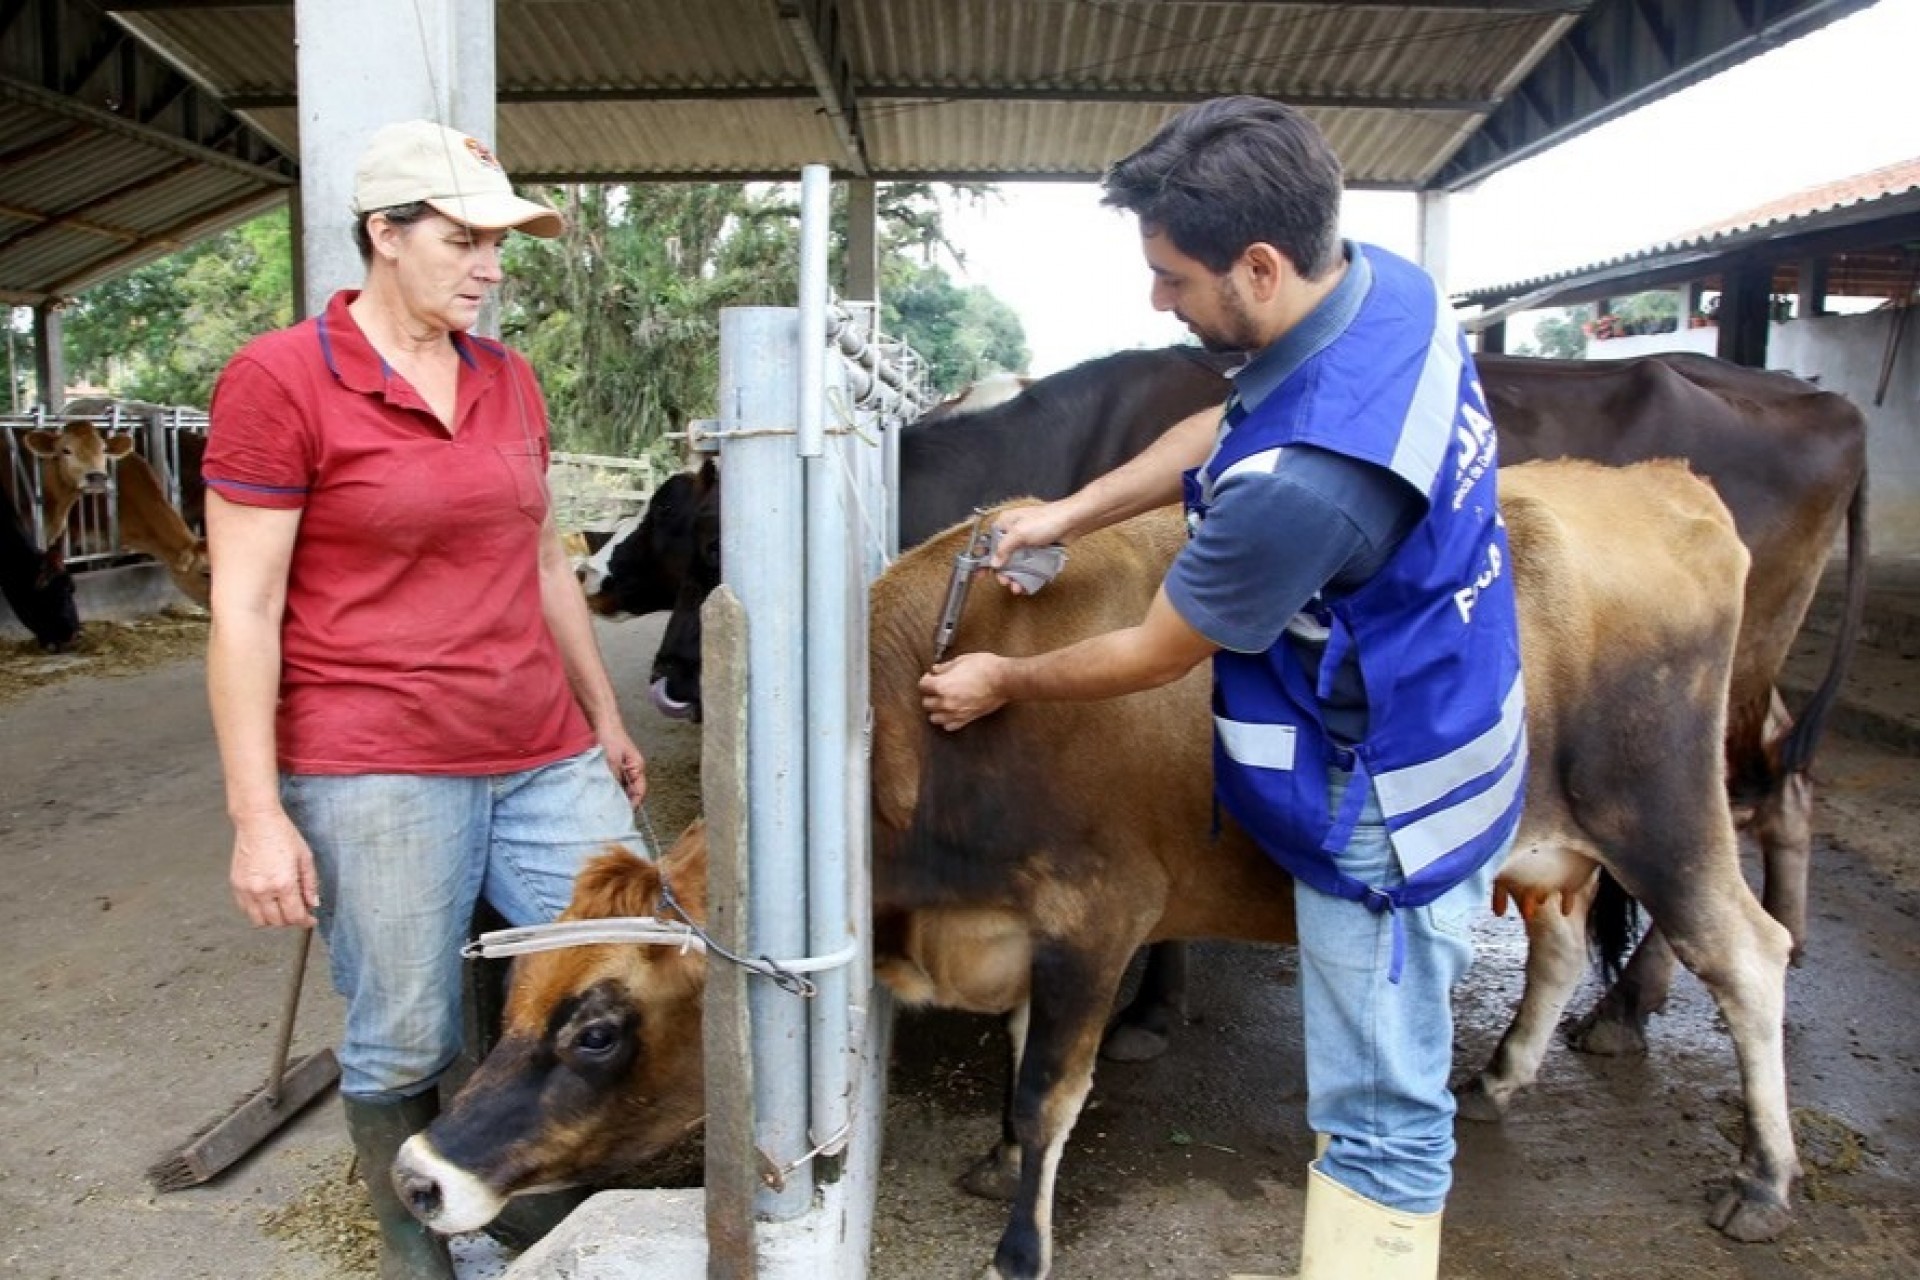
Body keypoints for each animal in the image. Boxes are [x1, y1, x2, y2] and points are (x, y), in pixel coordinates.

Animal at [389, 462, 1797, 1280]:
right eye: (513, 1004)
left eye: (598, 1028)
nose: (420, 1172)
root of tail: (1665, 484)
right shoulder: (1020, 930)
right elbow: (1020, 1066)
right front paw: (996, 1159)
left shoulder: (1096, 915)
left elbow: (1053, 1085)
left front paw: (1020, 1241)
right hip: (1546, 840)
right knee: (1559, 943)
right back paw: (1500, 1075)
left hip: (1663, 809)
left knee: (1750, 955)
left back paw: (1765, 1179)